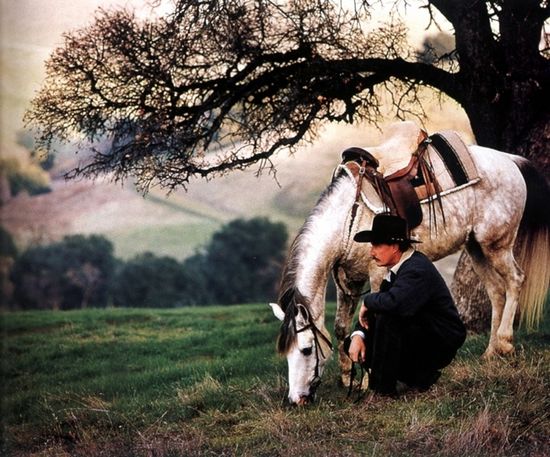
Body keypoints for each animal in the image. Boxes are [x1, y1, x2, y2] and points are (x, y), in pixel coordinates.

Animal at [270, 120, 550, 402]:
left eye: (306, 349)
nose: (296, 399)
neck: (349, 216)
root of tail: (510, 160)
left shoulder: (376, 274)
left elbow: (370, 317)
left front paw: (366, 381)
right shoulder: (348, 281)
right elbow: (340, 327)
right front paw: (347, 377)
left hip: (497, 244)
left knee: (515, 280)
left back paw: (504, 343)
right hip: (476, 248)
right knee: (496, 292)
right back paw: (491, 352)